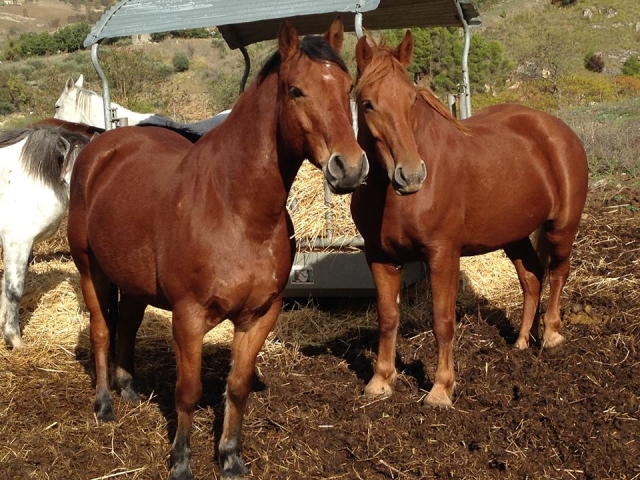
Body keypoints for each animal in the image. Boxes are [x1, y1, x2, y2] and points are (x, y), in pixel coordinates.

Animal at [67, 17, 368, 480]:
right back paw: (104, 405)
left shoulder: (260, 316)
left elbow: (237, 386)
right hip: (90, 269)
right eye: (295, 91)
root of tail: (100, 148)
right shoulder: (189, 318)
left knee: (127, 326)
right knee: (102, 330)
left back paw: (129, 389)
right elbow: (188, 391)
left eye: (348, 87)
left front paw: (230, 456)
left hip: (132, 281)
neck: (235, 210)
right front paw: (180, 460)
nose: (349, 167)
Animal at [350, 31, 588, 408]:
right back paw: (521, 343)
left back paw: (551, 336)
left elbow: (442, 321)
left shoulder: (442, 254)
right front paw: (380, 381)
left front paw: (441, 389)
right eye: (368, 103)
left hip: (562, 227)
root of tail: (556, 130)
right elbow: (387, 318)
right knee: (532, 278)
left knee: (558, 273)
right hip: (514, 235)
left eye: (412, 99)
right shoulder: (379, 257)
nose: (411, 176)